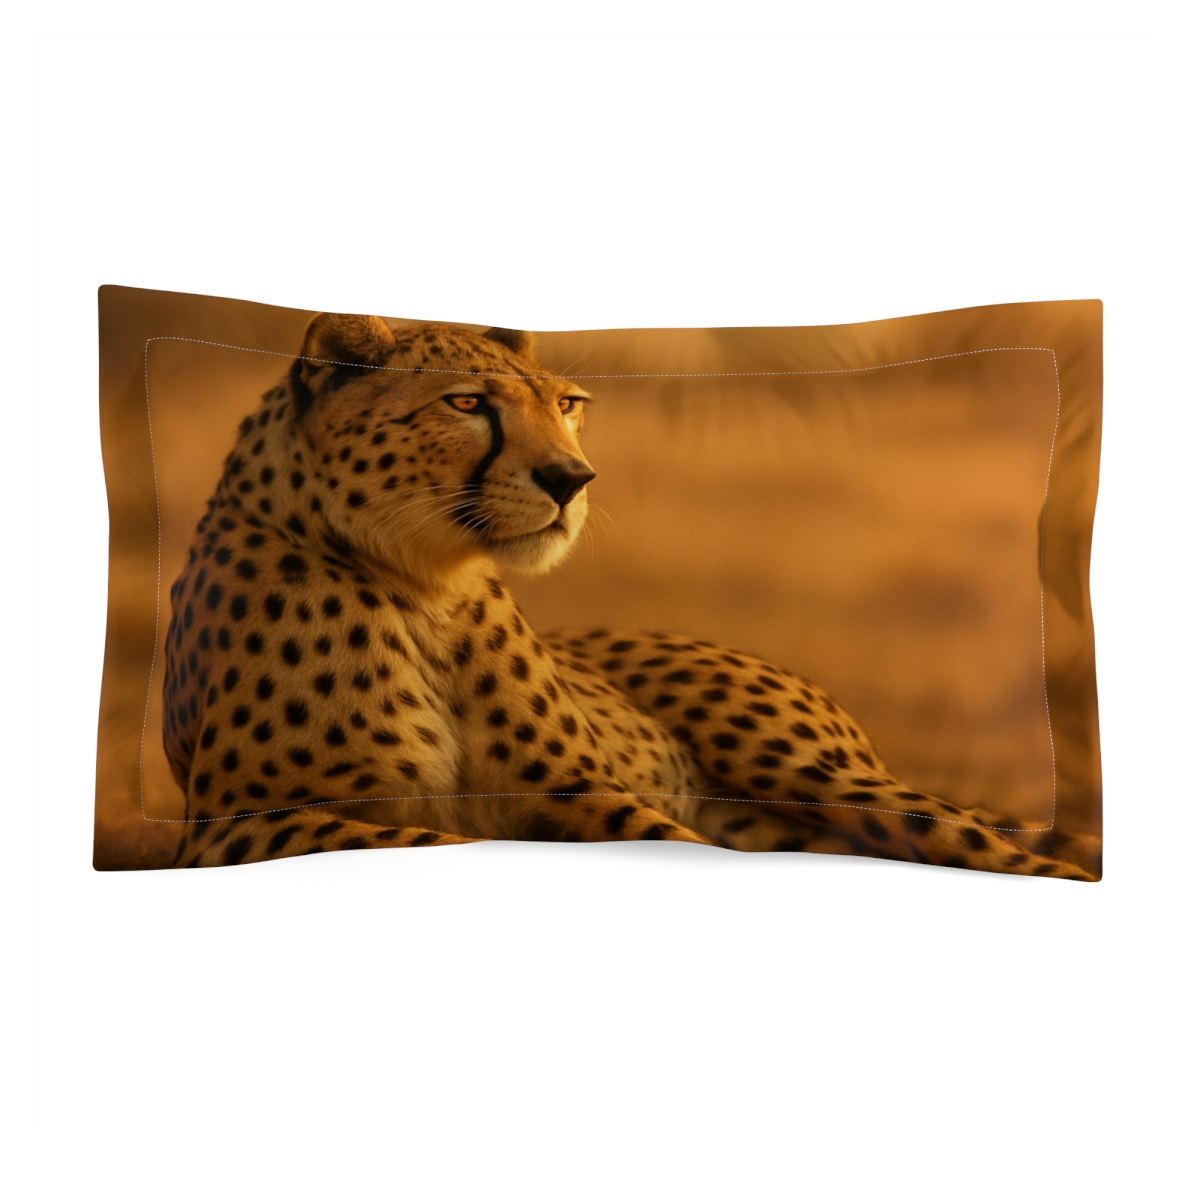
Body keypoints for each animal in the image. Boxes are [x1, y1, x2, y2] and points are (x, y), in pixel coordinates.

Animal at [162, 312, 1098, 879]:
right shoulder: (242, 826)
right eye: (465, 403)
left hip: (824, 777)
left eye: (568, 405)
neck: (426, 585)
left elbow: (659, 836)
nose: (572, 479)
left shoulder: (584, 794)